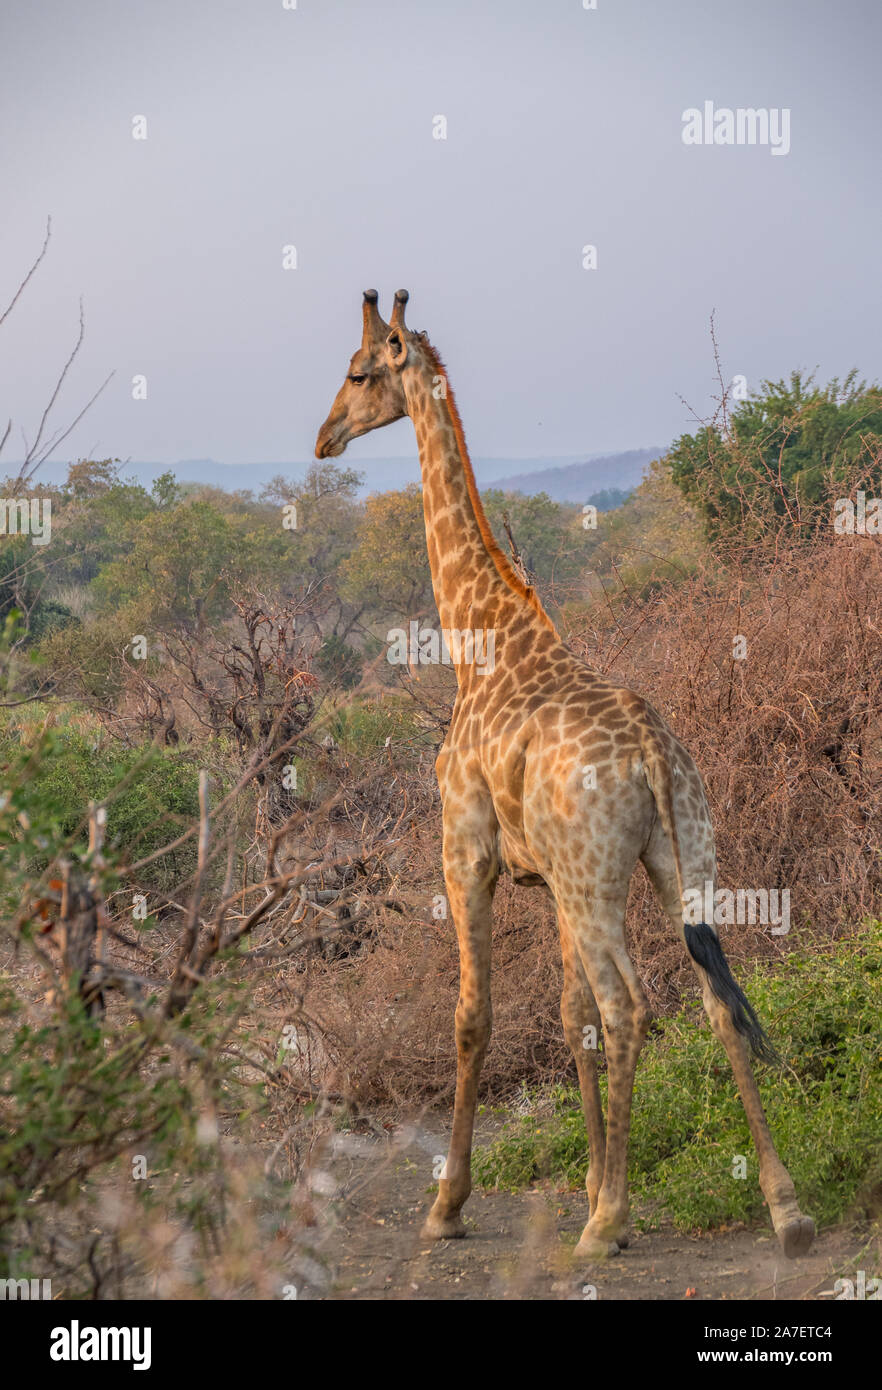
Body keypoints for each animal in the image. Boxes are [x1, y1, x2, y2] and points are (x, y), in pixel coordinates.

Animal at [313, 290, 816, 1262]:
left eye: (357, 373)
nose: (323, 438)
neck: (479, 642)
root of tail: (654, 751)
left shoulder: (464, 850)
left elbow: (478, 1016)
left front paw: (452, 1204)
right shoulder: (546, 877)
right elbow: (565, 1012)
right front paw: (586, 1180)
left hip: (598, 879)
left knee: (631, 1007)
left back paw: (609, 1226)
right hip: (678, 863)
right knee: (714, 1001)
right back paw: (785, 1209)